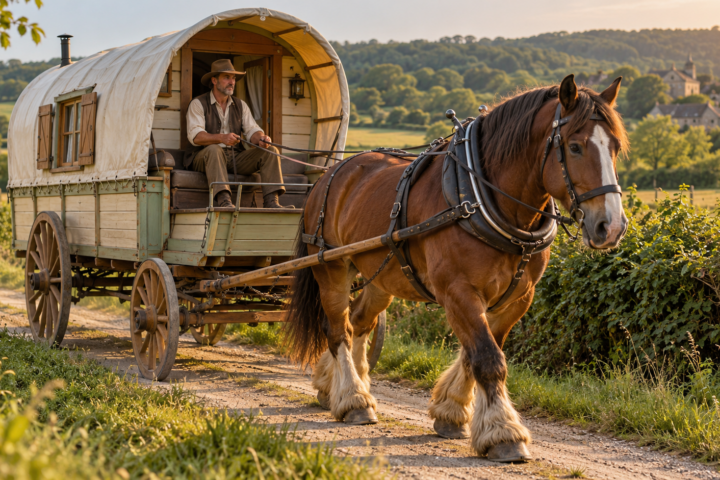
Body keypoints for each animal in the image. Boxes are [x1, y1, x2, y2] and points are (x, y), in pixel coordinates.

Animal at [284, 74, 629, 462]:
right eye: (574, 147)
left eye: (615, 147)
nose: (611, 226)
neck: (479, 199)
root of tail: (332, 172)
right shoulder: (458, 292)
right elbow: (488, 359)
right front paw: (503, 432)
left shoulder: (517, 298)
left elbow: (475, 353)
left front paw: (451, 411)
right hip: (330, 267)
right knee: (337, 330)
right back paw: (353, 397)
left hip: (381, 276)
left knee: (358, 322)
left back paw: (335, 385)